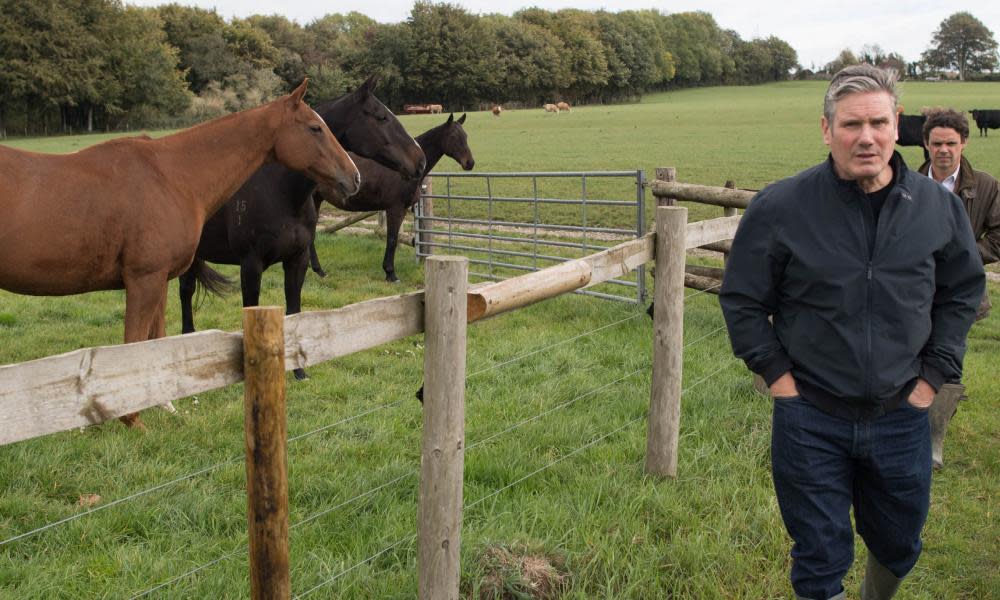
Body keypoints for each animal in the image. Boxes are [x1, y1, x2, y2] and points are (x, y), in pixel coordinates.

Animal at [0, 79, 360, 426]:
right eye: (315, 128)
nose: (354, 177)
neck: (171, 175)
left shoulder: (159, 281)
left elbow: (156, 343)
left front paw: (164, 406)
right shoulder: (144, 281)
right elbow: (134, 346)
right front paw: (132, 419)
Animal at [178, 78, 424, 380]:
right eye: (381, 117)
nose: (420, 159)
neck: (280, 190)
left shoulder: (298, 260)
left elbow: (294, 312)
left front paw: (299, 371)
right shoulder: (251, 265)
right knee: (185, 292)